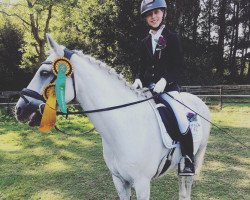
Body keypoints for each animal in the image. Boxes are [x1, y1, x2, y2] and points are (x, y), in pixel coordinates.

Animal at [15, 35, 211, 199]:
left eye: (44, 73)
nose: (19, 110)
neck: (123, 127)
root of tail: (199, 101)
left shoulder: (142, 183)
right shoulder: (119, 180)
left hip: (194, 157)